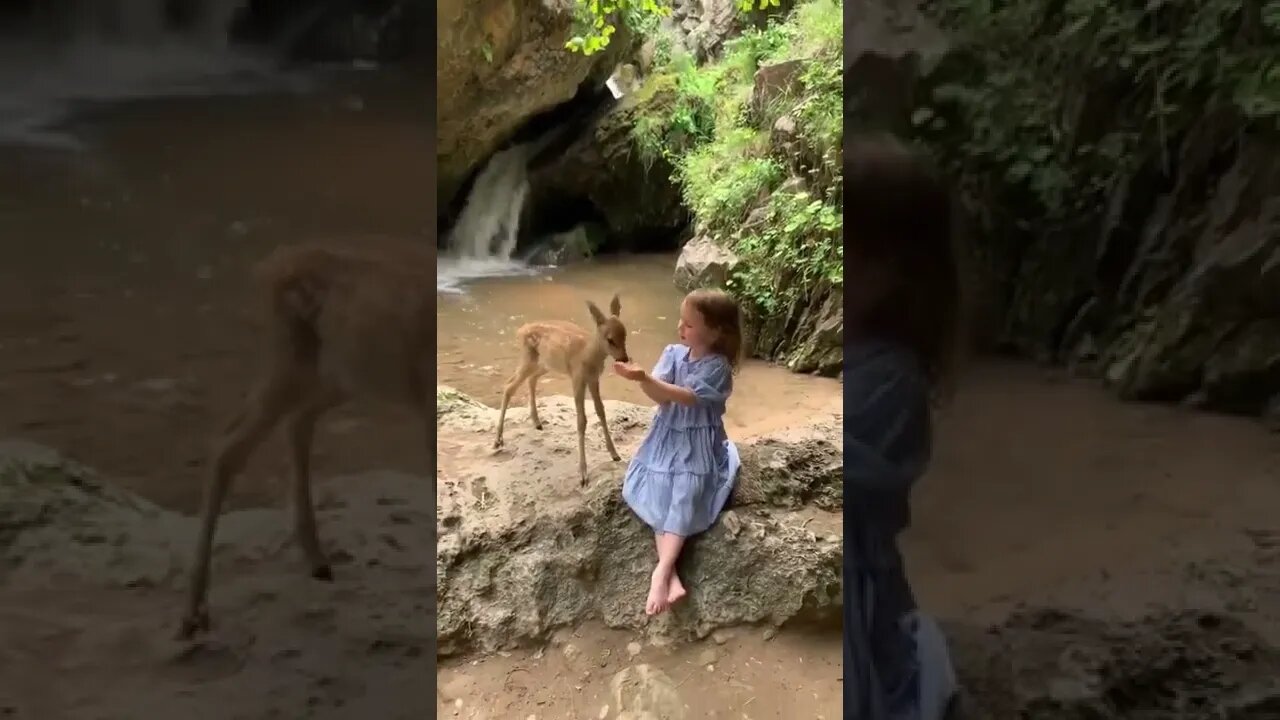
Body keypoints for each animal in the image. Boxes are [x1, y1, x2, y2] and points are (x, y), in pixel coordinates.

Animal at [175, 235, 437, 638]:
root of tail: (264, 270)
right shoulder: (428, 399)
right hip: (290, 360)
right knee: (228, 445)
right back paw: (193, 613)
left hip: (334, 375)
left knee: (294, 422)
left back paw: (317, 560)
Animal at [491, 294, 627, 484]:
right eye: (610, 339)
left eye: (625, 334)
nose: (624, 358)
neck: (588, 354)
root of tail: (520, 330)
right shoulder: (577, 378)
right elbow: (581, 420)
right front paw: (583, 474)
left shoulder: (594, 379)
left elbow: (601, 411)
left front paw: (615, 454)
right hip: (529, 358)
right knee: (509, 386)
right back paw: (497, 440)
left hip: (545, 363)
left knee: (530, 380)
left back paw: (537, 422)